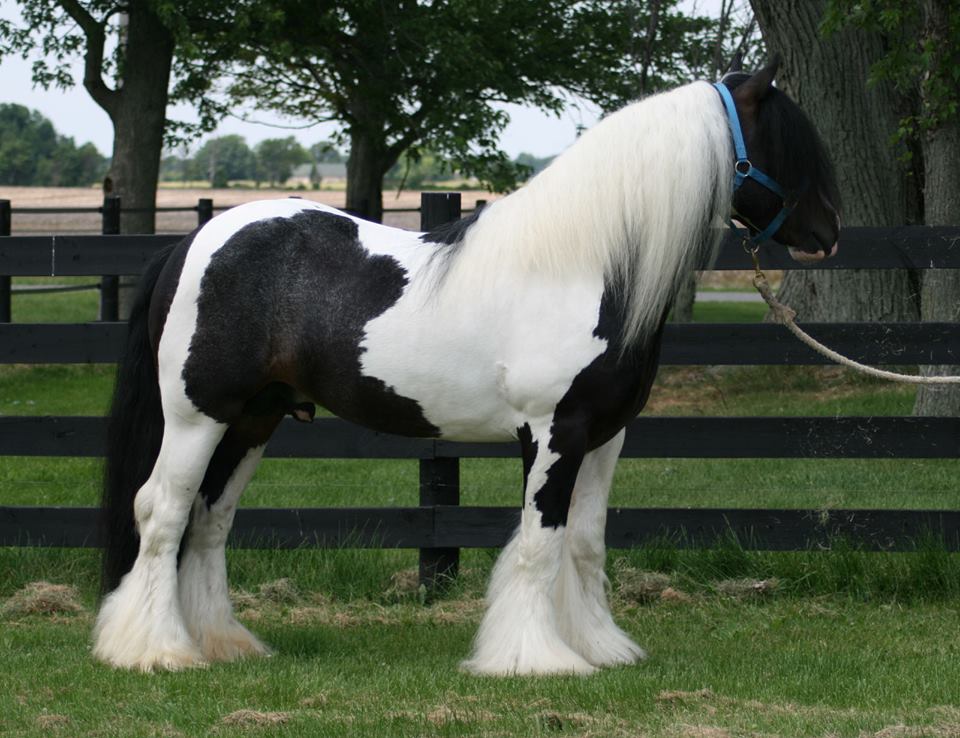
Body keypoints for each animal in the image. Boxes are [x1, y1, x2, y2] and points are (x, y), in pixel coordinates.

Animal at [93, 57, 840, 675]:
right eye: (784, 142)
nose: (829, 235)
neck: (583, 267)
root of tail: (193, 241)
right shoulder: (553, 432)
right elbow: (540, 542)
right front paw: (537, 661)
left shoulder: (605, 437)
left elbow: (584, 543)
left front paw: (601, 649)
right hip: (199, 416)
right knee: (162, 511)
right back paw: (157, 651)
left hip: (254, 419)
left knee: (210, 520)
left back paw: (223, 645)